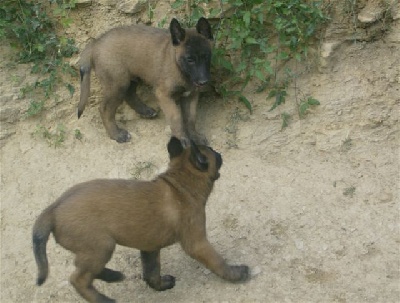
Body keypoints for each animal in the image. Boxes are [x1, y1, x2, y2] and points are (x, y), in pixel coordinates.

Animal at [32, 138, 250, 303]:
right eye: (212, 152)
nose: (219, 152)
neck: (181, 183)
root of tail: (53, 209)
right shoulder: (197, 243)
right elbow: (217, 261)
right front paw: (236, 274)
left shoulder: (150, 247)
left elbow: (151, 271)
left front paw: (161, 285)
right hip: (101, 246)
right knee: (78, 278)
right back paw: (104, 300)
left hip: (93, 249)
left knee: (82, 267)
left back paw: (113, 276)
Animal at [79, 18, 214, 145]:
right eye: (190, 59)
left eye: (206, 56)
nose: (203, 82)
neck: (178, 66)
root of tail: (96, 42)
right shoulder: (163, 95)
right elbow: (176, 118)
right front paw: (182, 140)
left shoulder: (191, 95)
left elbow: (191, 118)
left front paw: (195, 136)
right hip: (117, 84)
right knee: (104, 109)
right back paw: (117, 134)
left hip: (132, 77)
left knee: (129, 94)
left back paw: (144, 111)